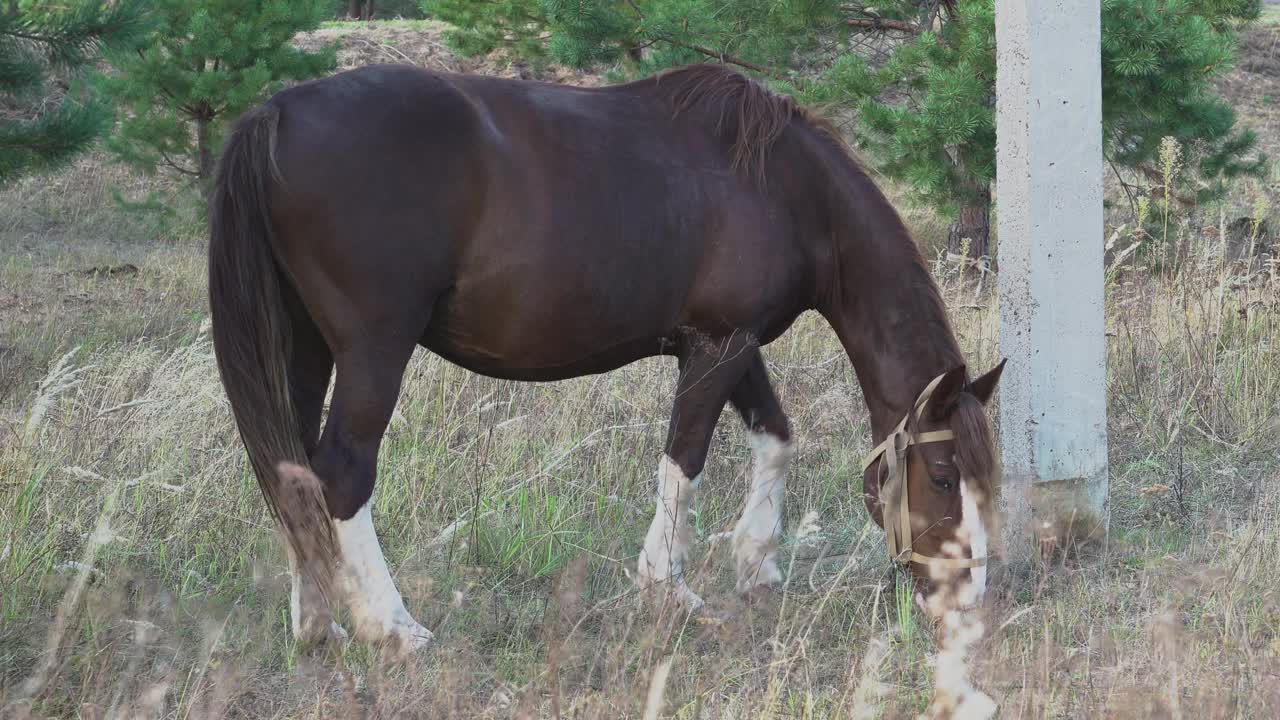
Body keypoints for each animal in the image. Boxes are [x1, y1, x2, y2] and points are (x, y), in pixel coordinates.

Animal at [209, 63, 1003, 650]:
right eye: (941, 474)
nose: (969, 600)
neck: (783, 186)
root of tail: (275, 113)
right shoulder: (718, 345)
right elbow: (684, 461)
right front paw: (670, 588)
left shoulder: (732, 345)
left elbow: (775, 438)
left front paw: (756, 563)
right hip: (375, 347)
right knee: (342, 474)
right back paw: (392, 627)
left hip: (304, 346)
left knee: (292, 473)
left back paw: (318, 627)